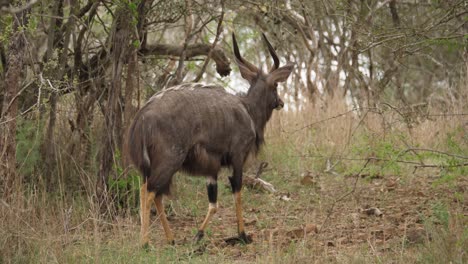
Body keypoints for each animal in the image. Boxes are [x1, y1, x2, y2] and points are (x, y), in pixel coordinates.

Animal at [127, 33, 292, 248]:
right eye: (276, 85)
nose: (281, 102)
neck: (247, 110)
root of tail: (142, 117)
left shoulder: (211, 169)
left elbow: (213, 203)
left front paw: (198, 235)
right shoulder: (237, 158)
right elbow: (237, 192)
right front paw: (242, 235)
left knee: (155, 193)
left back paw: (171, 239)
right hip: (170, 161)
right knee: (148, 192)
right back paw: (145, 243)